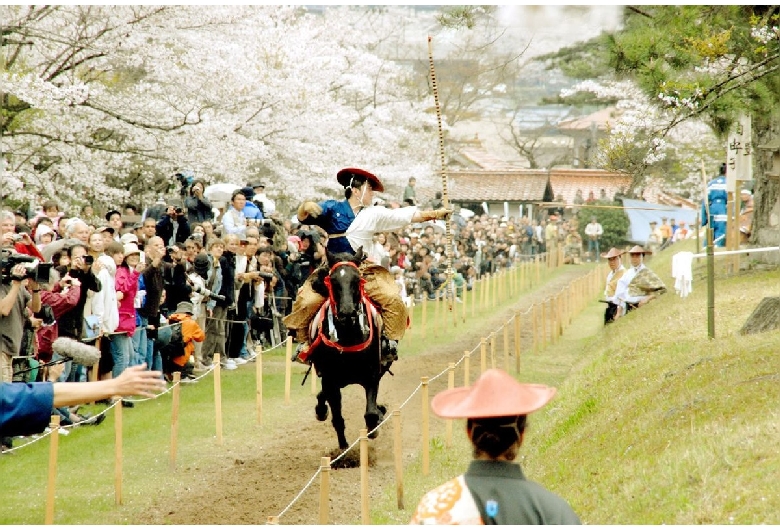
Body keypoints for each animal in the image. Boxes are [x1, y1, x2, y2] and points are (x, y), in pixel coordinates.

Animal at [304, 245, 390, 448]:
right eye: (333, 280)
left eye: (357, 279)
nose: (347, 313)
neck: (348, 336)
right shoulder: (330, 380)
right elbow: (337, 418)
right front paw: (344, 449)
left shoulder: (371, 374)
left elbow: (371, 413)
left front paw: (375, 424)